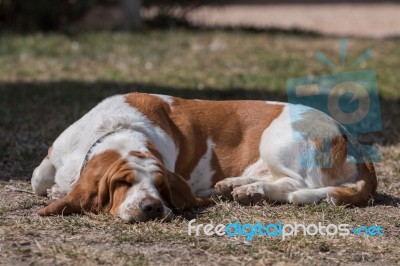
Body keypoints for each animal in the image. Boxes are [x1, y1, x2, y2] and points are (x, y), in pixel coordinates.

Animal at [32, 93, 378, 222]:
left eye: (160, 184)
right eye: (121, 182)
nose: (152, 207)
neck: (119, 129)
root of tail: (352, 141)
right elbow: (38, 178)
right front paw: (55, 189)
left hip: (275, 141)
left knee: (297, 186)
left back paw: (251, 191)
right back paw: (236, 186)